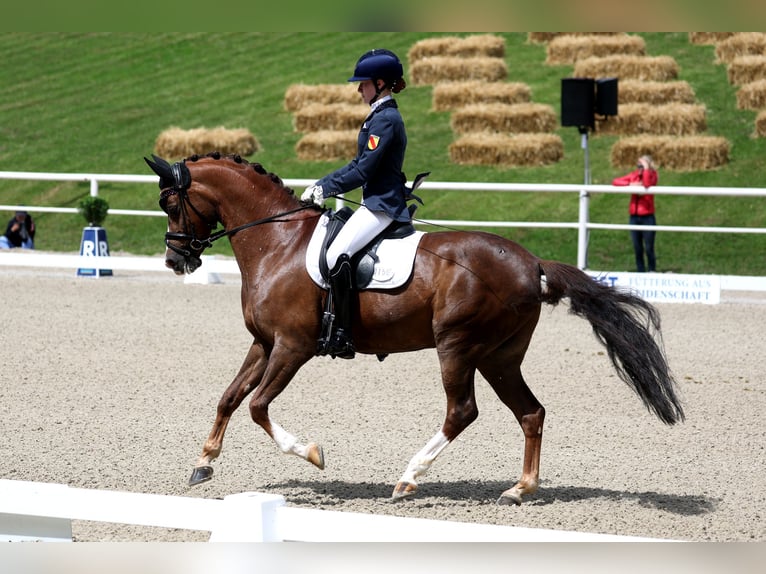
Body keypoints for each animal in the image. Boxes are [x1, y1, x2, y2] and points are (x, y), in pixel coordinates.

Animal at [147, 151, 688, 506]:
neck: (277, 242)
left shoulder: (293, 347)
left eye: (171, 205)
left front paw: (313, 454)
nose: (175, 261)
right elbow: (229, 397)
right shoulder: (264, 343)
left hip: (458, 346)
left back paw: (408, 478)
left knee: (462, 412)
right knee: (530, 412)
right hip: (499, 356)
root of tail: (531, 261)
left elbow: (258, 406)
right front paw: (204, 462)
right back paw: (519, 489)